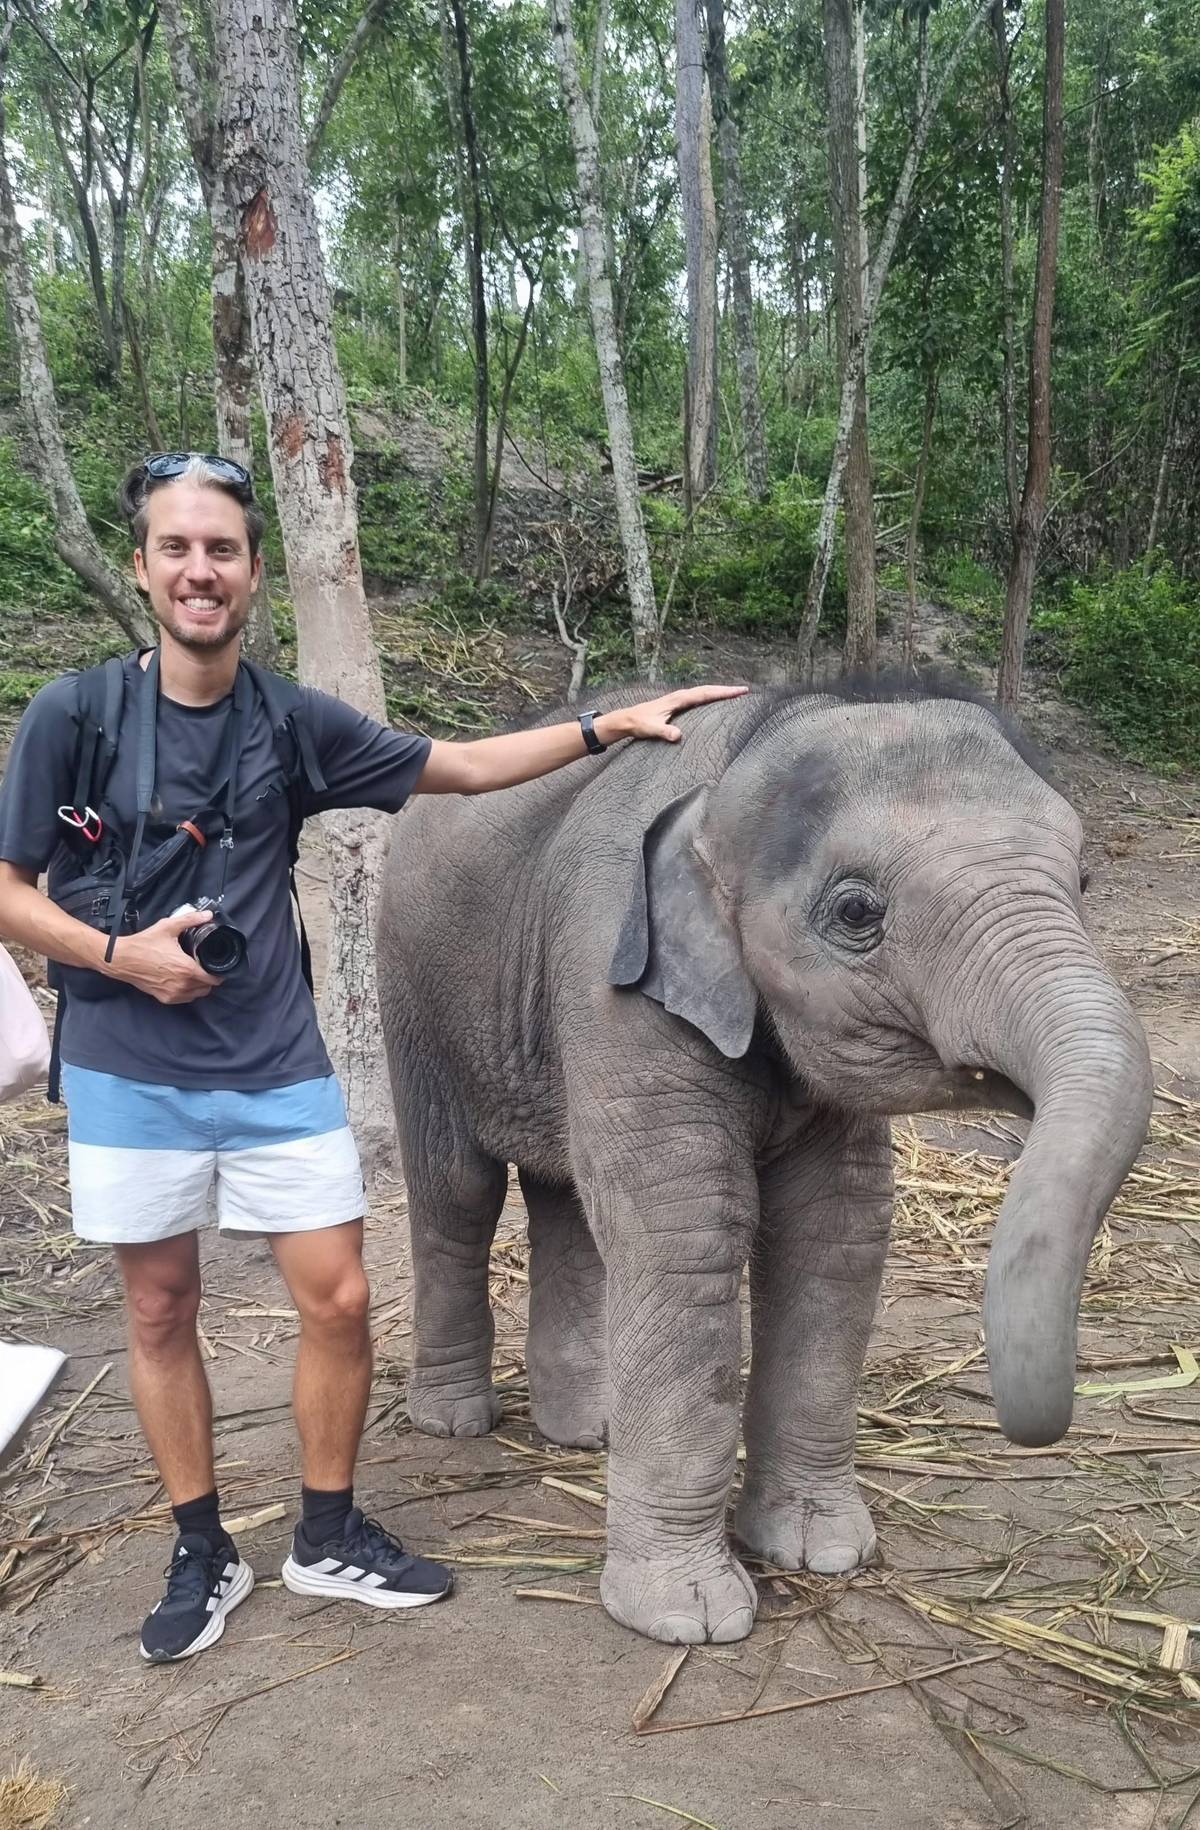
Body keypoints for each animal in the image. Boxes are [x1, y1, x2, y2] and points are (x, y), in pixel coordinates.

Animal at [377, 681, 1152, 1646]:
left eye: (1083, 882)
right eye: (857, 912)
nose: (1045, 1423)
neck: (744, 755)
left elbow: (836, 1236)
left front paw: (821, 1553)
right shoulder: (609, 977)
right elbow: (689, 1237)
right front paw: (689, 1619)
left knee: (570, 1204)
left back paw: (589, 1433)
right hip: (413, 992)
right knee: (459, 1190)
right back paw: (454, 1423)